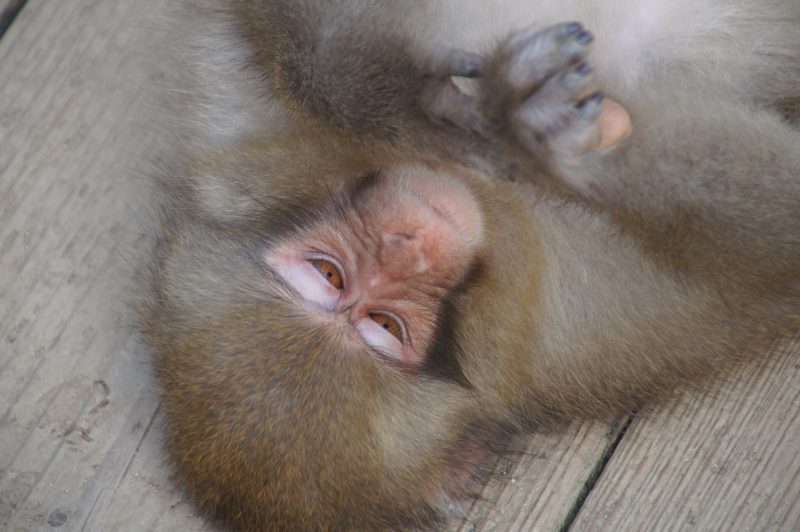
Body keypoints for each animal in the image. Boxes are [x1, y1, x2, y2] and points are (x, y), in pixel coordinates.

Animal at [139, 0, 800, 529]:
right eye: (387, 325)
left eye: (327, 276)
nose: (408, 245)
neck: (486, 193)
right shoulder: (579, 329)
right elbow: (782, 242)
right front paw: (569, 144)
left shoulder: (234, 125)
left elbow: (297, 56)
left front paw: (402, 94)